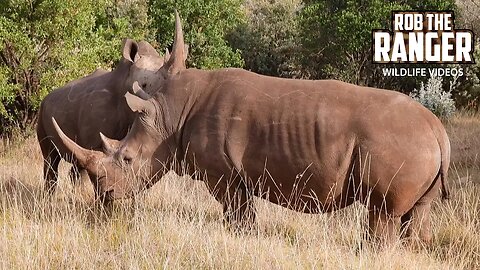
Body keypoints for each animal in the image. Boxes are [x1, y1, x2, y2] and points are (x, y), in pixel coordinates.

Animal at [53, 14, 450, 245]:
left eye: (128, 159)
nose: (106, 199)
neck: (169, 114)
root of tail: (439, 132)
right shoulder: (235, 174)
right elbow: (243, 213)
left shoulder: (224, 173)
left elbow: (238, 214)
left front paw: (241, 239)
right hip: (419, 146)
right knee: (416, 214)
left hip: (398, 145)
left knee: (382, 213)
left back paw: (369, 251)